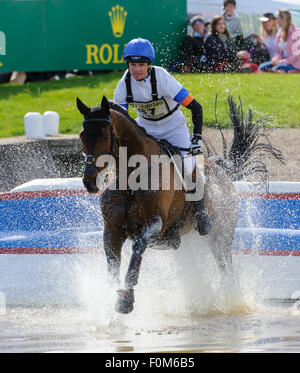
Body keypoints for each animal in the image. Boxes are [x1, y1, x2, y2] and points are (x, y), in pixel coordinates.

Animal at [77, 95, 239, 314]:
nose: (90, 181)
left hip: (219, 237)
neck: (132, 177)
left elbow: (137, 247)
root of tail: (224, 173)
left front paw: (126, 299)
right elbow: (112, 267)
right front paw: (111, 298)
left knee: (227, 271)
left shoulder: (156, 226)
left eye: (104, 135)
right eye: (82, 136)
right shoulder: (111, 230)